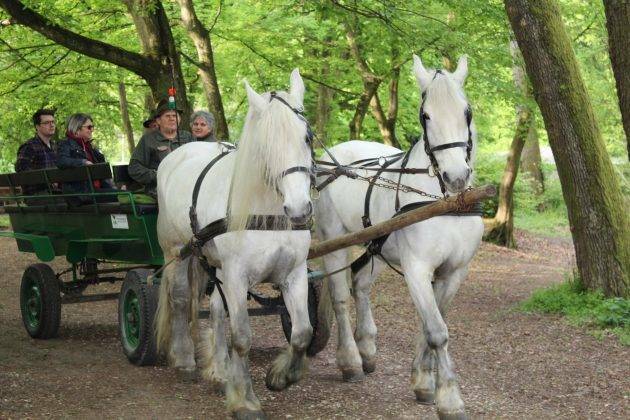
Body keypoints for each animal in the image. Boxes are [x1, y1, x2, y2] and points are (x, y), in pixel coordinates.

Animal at [157, 70, 314, 418]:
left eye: (307, 137)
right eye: (265, 147)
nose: (299, 209)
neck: (267, 212)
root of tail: (178, 152)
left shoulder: (294, 274)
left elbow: (302, 333)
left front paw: (281, 375)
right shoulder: (237, 275)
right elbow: (241, 337)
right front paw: (244, 399)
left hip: (216, 266)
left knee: (216, 311)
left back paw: (219, 371)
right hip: (177, 252)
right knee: (179, 299)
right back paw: (184, 358)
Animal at [316, 55, 484, 420]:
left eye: (467, 112)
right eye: (426, 115)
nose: (456, 176)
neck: (442, 202)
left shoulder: (454, 272)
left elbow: (431, 322)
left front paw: (423, 382)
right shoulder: (417, 269)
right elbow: (437, 331)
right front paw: (450, 399)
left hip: (376, 245)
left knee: (360, 285)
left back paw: (366, 347)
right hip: (334, 237)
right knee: (340, 296)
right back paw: (350, 360)